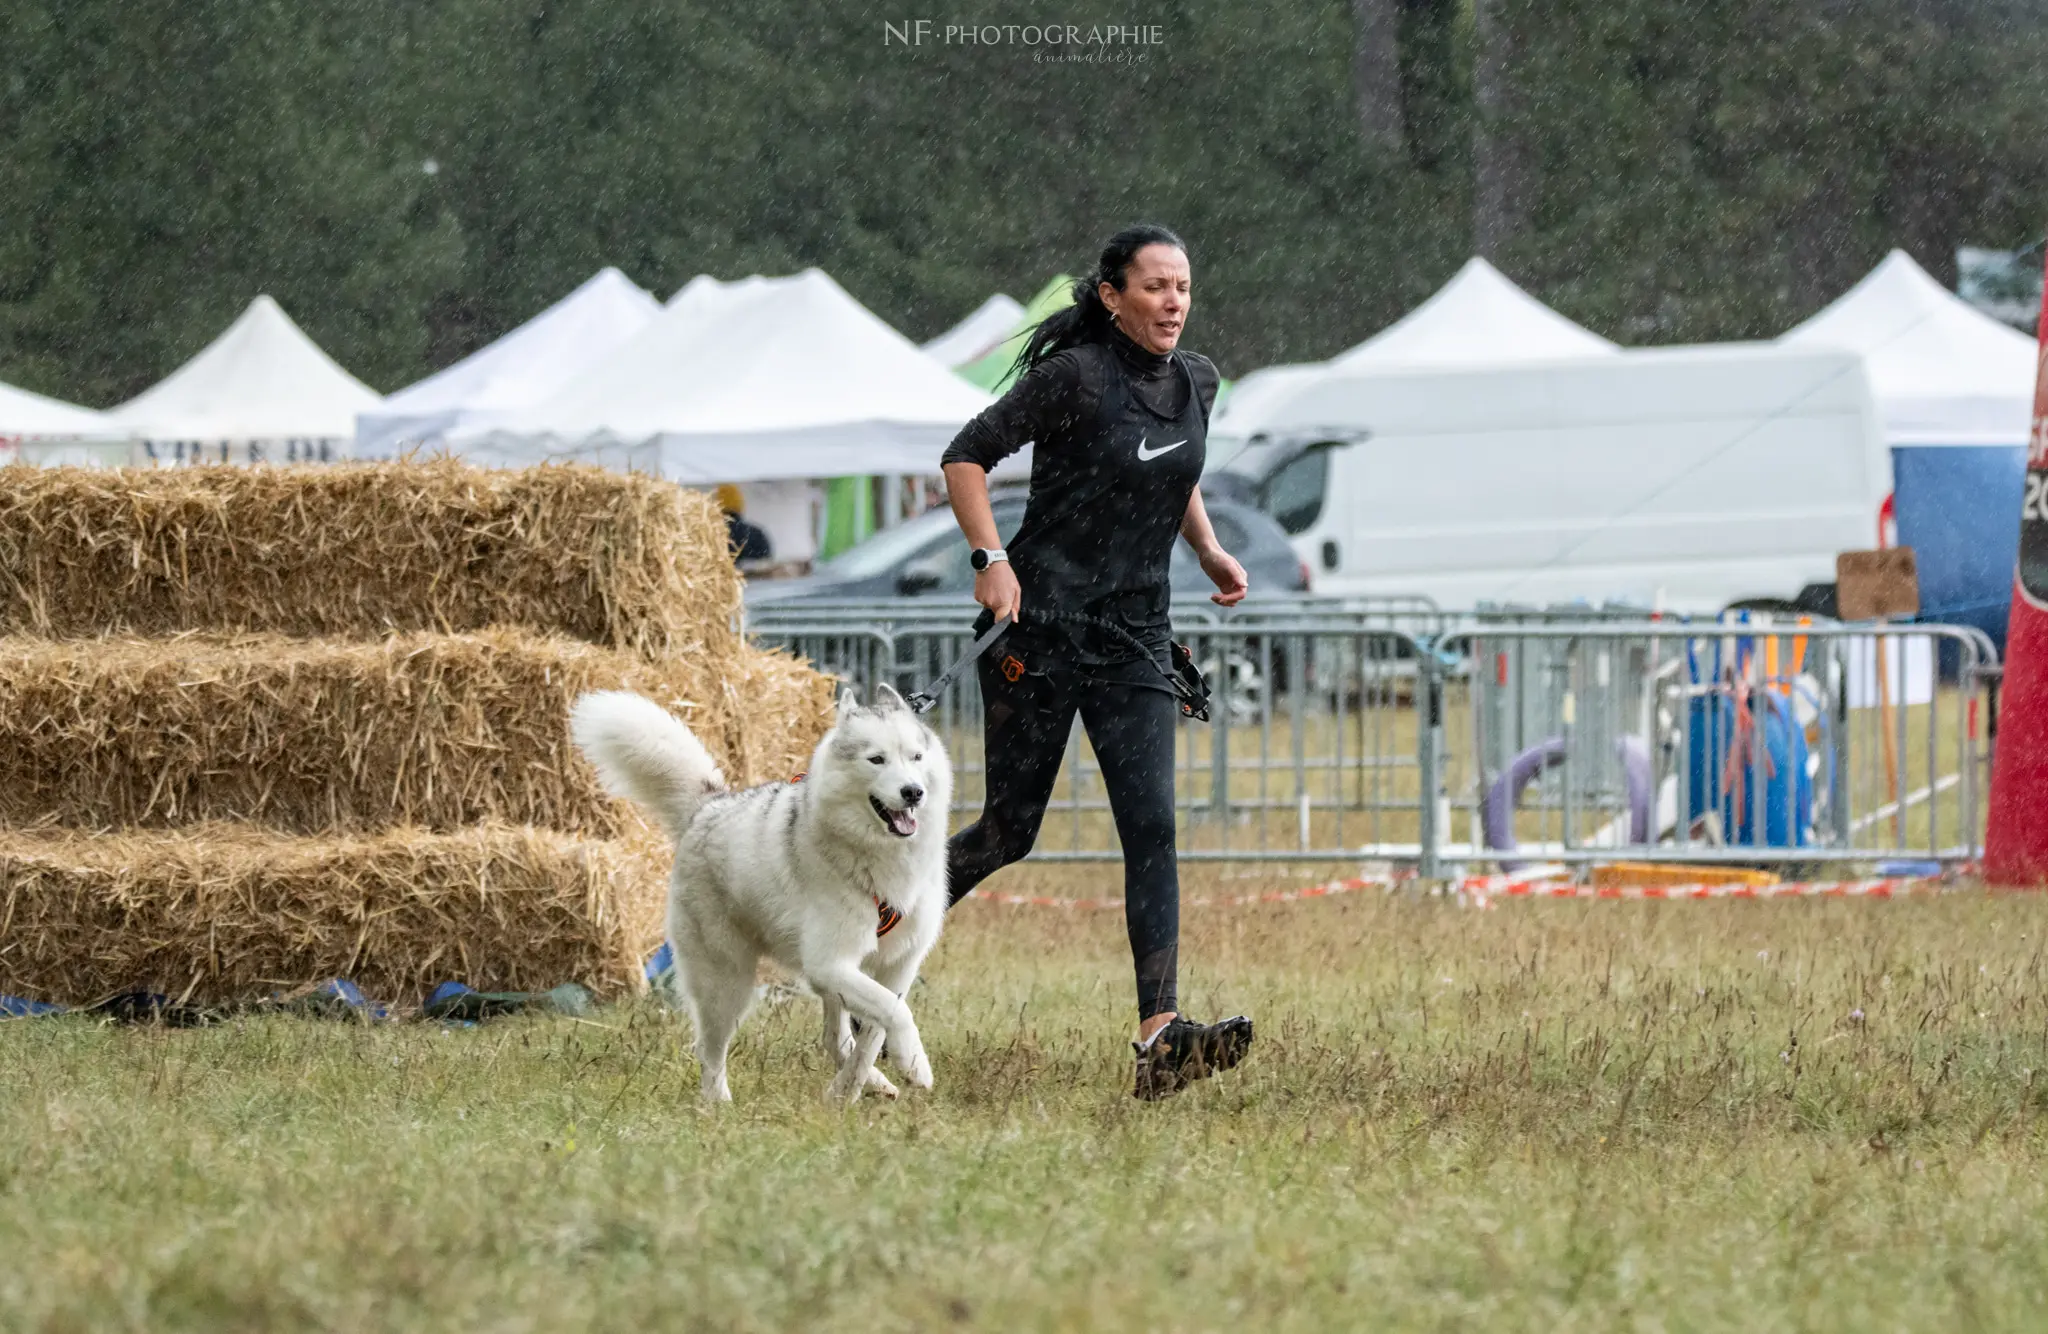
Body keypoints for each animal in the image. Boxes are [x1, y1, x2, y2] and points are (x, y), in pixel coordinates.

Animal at [569, 684, 950, 1098]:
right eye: (876, 760)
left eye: (916, 757)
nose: (913, 792)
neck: (880, 856)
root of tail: (707, 806)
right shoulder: (830, 962)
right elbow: (896, 1013)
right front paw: (915, 1064)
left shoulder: (898, 964)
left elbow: (876, 1031)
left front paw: (857, 1087)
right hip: (727, 981)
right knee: (709, 1049)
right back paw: (718, 1103)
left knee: (834, 1037)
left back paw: (865, 1086)